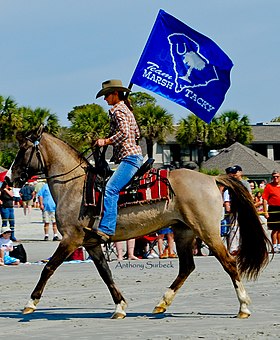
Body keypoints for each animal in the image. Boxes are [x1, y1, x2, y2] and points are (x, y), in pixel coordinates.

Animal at [9, 126, 272, 320]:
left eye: (23, 150)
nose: (10, 178)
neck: (75, 186)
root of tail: (212, 179)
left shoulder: (70, 239)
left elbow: (48, 268)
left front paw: (30, 303)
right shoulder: (91, 243)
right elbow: (105, 273)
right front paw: (120, 307)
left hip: (208, 232)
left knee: (229, 263)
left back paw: (243, 307)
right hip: (183, 232)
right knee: (186, 267)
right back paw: (161, 303)